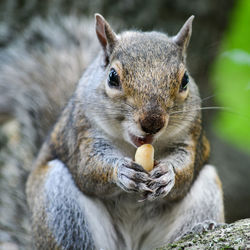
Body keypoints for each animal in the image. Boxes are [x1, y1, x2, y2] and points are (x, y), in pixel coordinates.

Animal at [0, 13, 224, 250]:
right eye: (112, 77)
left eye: (185, 80)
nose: (152, 123)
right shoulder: (82, 131)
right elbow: (87, 168)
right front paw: (122, 171)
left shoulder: (191, 135)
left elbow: (187, 169)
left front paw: (167, 173)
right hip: (60, 204)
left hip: (207, 190)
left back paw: (197, 228)